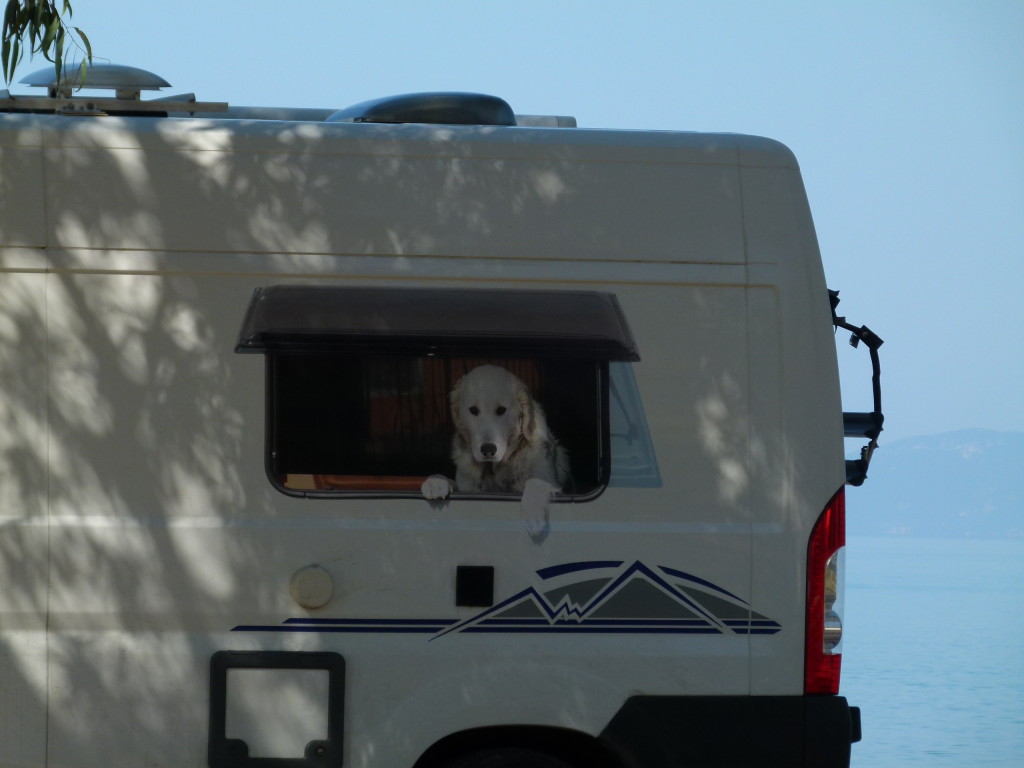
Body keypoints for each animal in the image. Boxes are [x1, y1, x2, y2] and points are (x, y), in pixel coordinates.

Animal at [419, 364, 573, 536]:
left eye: (501, 410)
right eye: (473, 410)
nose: (488, 449)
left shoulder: (553, 483)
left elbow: (535, 481)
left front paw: (533, 511)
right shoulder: (468, 487)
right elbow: (453, 482)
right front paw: (436, 481)